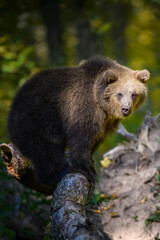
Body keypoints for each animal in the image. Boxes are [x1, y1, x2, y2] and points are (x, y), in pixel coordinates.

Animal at [7, 57, 150, 185]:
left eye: (134, 94)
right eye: (119, 93)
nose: (126, 109)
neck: (102, 105)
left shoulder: (108, 122)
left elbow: (97, 138)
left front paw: (91, 164)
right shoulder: (83, 106)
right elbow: (81, 137)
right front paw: (85, 170)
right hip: (36, 121)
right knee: (45, 151)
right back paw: (57, 173)